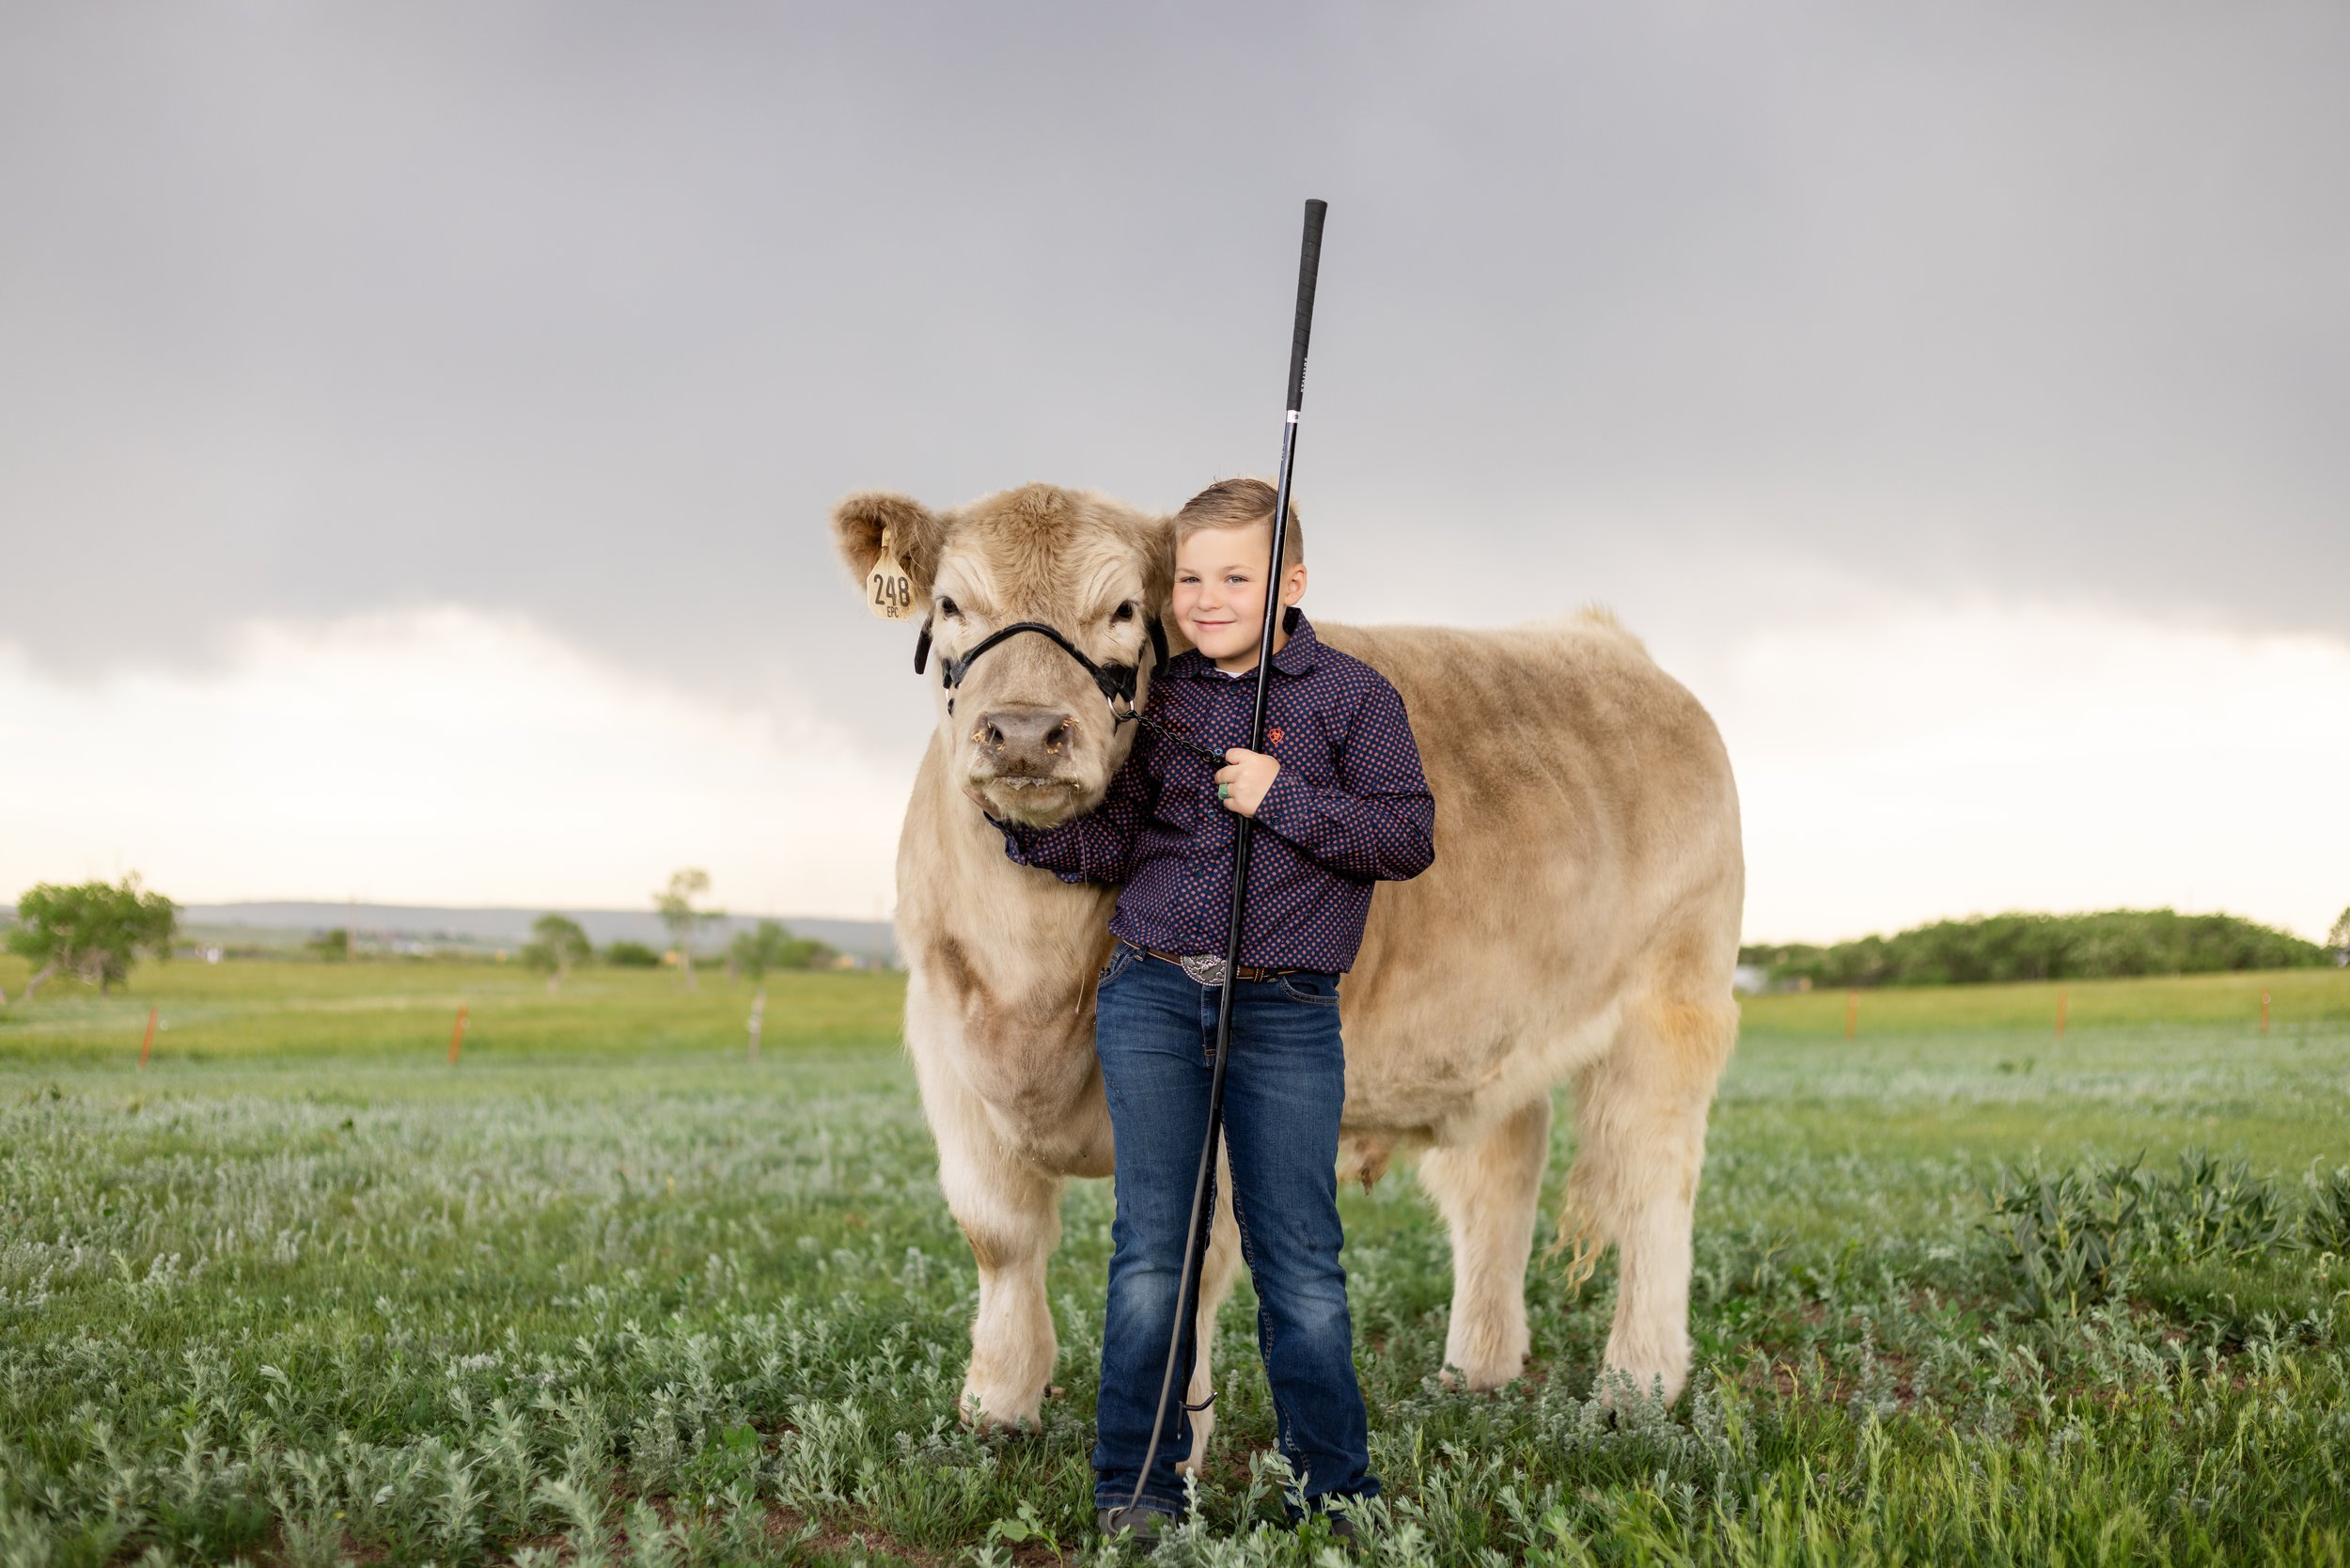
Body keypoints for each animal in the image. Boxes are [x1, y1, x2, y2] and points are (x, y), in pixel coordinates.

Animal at [831, 482, 1743, 1455]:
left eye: (1124, 610)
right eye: (950, 605)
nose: (1028, 734)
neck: (1029, 985)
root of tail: (1604, 640)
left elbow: (1193, 1269)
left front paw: (1169, 1452)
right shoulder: (947, 1053)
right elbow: (998, 1235)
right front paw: (997, 1406)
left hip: (1673, 1006)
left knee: (1652, 1183)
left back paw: (1636, 1387)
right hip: (1496, 1035)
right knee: (1498, 1177)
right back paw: (1478, 1368)